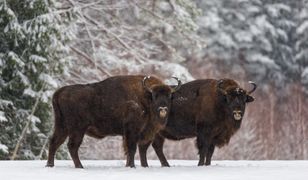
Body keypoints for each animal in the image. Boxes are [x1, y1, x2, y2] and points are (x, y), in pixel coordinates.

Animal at [45, 74, 180, 167]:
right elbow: (131, 148)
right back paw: (80, 166)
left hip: (62, 127)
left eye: (169, 96)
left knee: (54, 142)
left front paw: (128, 165)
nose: (163, 108)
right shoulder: (132, 130)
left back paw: (50, 165)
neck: (144, 97)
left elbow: (129, 150)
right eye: (155, 96)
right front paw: (131, 166)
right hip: (77, 129)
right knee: (72, 146)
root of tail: (59, 92)